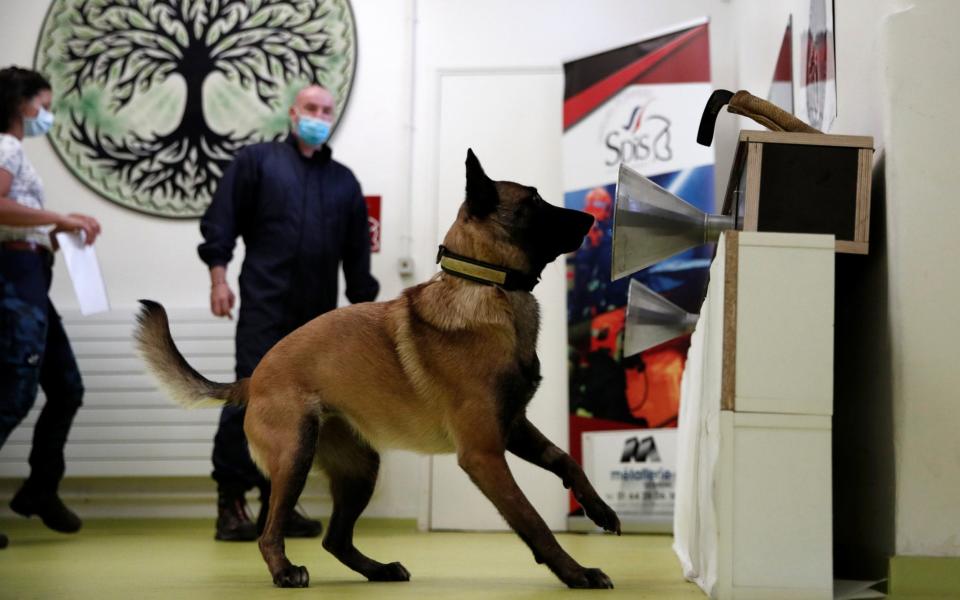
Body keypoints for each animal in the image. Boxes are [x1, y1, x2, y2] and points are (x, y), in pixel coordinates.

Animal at [137, 148, 624, 588]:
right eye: (535, 202)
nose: (593, 217)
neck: (489, 286)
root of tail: (253, 379)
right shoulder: (484, 453)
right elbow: (533, 520)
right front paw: (576, 573)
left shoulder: (512, 426)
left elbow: (565, 461)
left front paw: (598, 508)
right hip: (295, 456)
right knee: (270, 531)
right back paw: (285, 571)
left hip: (359, 469)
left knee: (335, 539)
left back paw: (378, 570)